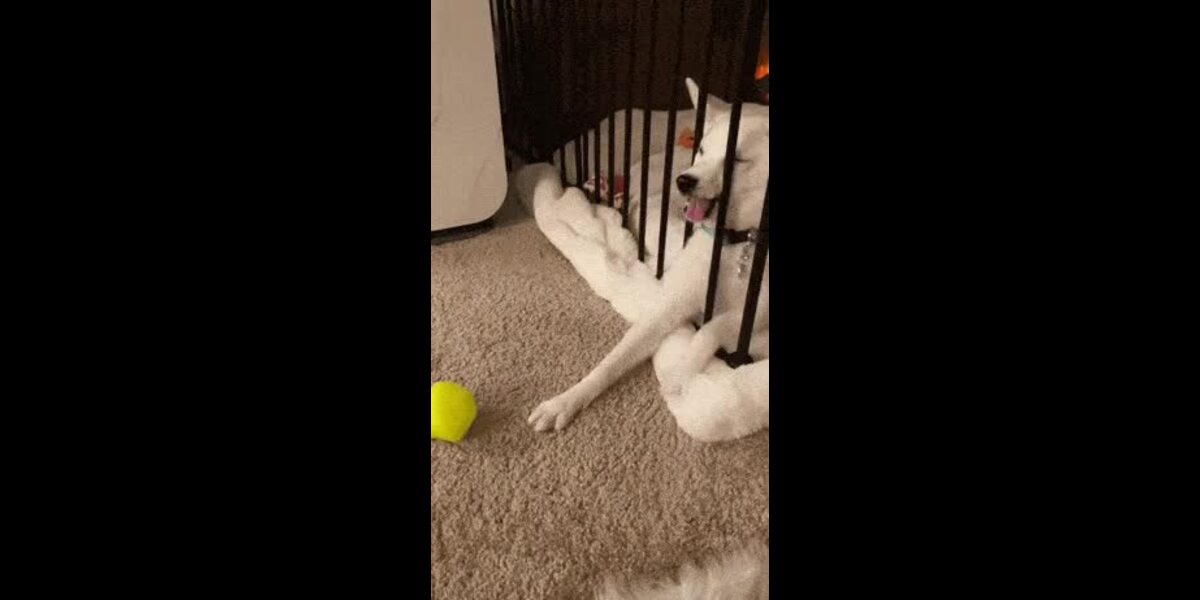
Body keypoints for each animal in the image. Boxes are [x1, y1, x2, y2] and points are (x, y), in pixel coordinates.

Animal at [528, 77, 769, 433]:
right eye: (702, 150)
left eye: (737, 159)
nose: (683, 180)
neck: (737, 243)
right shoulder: (668, 306)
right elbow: (612, 361)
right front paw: (566, 400)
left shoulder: (757, 314)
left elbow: (713, 327)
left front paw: (681, 373)